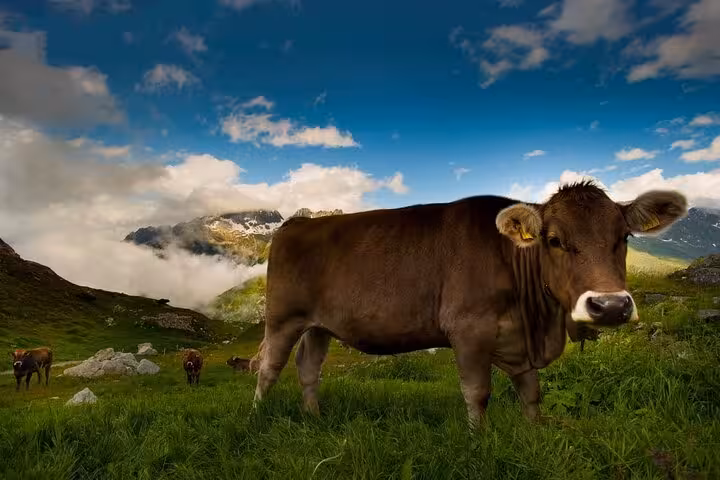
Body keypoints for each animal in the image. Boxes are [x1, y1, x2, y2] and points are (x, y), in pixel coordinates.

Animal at [251, 181, 687, 425]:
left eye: (624, 238)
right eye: (554, 240)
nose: (610, 306)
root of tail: (299, 223)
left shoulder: (518, 341)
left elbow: (532, 393)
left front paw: (534, 434)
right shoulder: (468, 329)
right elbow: (477, 393)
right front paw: (479, 440)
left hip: (319, 325)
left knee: (308, 367)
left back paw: (314, 417)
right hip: (283, 316)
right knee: (269, 367)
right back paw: (256, 418)